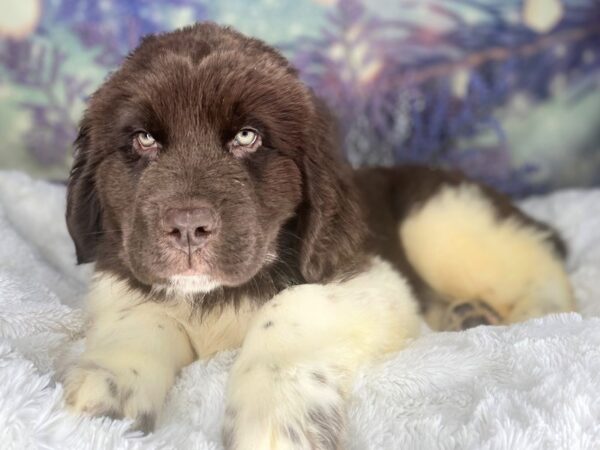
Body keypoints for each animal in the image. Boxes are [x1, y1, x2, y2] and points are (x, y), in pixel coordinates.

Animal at [63, 22, 576, 450]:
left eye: (247, 137)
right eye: (144, 140)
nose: (188, 227)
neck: (215, 296)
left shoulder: (365, 276)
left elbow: (288, 312)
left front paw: (275, 423)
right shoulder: (123, 272)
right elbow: (138, 320)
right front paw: (105, 392)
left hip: (443, 219)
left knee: (542, 269)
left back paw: (527, 314)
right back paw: (465, 314)